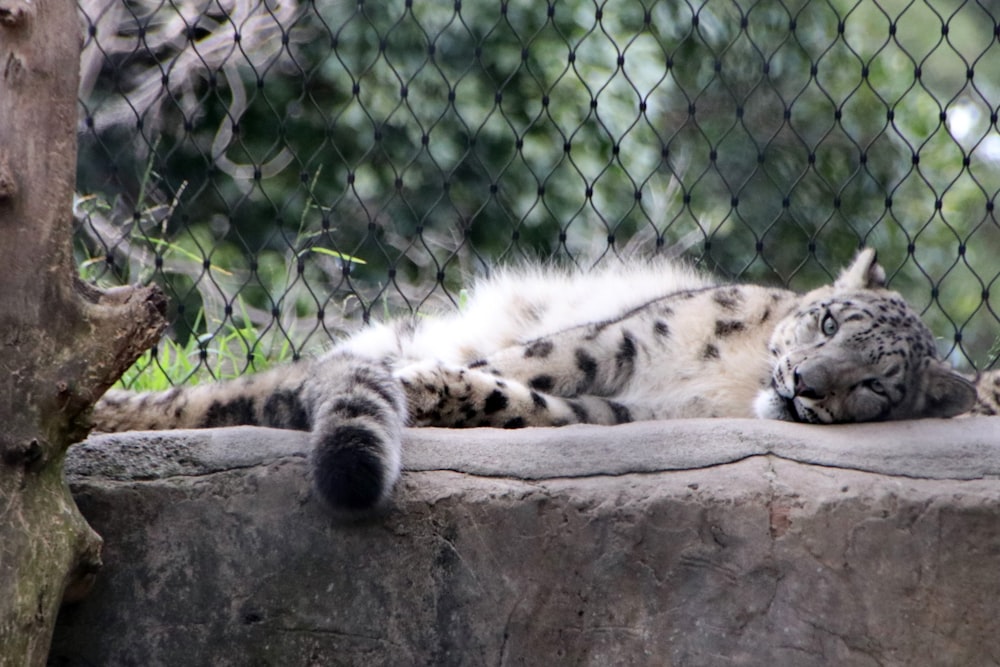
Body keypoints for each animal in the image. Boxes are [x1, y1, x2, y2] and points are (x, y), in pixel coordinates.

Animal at [92, 248, 992, 516]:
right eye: (831, 321)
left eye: (874, 387)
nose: (804, 382)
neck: (728, 385)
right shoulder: (613, 343)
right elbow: (528, 364)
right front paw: (426, 378)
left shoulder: (611, 409)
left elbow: (522, 400)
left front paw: (438, 390)